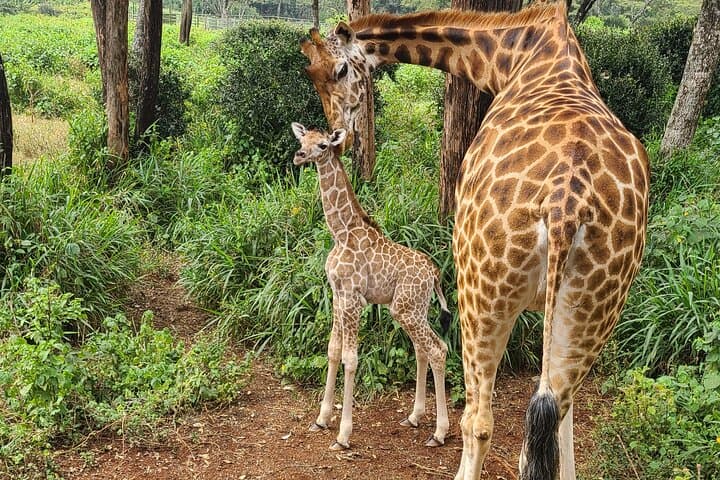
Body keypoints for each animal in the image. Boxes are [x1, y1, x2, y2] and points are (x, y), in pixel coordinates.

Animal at [291, 122, 453, 451]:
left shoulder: (354, 300)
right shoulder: (337, 296)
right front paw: (321, 419)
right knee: (422, 349)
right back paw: (414, 417)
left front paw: (343, 434)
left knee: (438, 349)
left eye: (323, 145)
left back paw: (439, 432)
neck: (341, 233)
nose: (299, 156)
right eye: (302, 139)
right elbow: (333, 350)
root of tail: (434, 273)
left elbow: (351, 359)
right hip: (411, 308)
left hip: (406, 309)